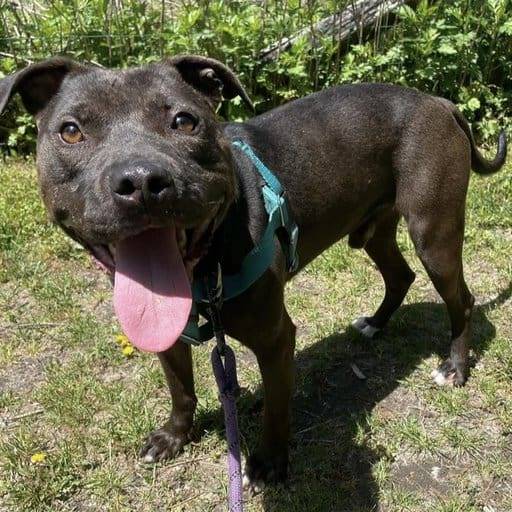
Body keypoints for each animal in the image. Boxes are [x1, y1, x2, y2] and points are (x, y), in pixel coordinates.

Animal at [0, 55, 506, 484]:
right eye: (70, 131)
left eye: (185, 121)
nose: (141, 181)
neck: (205, 267)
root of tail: (438, 102)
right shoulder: (167, 334)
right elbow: (180, 387)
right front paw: (174, 436)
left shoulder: (276, 339)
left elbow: (276, 409)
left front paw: (268, 462)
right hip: (372, 231)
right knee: (399, 275)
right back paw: (375, 324)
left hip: (433, 233)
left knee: (461, 298)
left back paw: (454, 367)